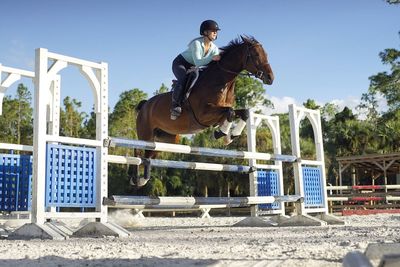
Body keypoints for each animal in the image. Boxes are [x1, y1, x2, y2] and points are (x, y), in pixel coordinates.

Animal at [133, 35, 274, 187]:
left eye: (266, 54)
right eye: (256, 55)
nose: (271, 78)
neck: (221, 82)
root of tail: (145, 104)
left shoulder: (218, 114)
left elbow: (243, 113)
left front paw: (230, 136)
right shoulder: (203, 114)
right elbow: (230, 112)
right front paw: (221, 133)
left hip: (165, 140)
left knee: (149, 155)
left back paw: (142, 179)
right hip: (146, 135)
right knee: (138, 151)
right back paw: (136, 179)